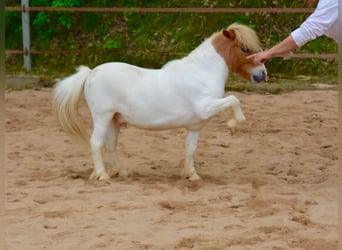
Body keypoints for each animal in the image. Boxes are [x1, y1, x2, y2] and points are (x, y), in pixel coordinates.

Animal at [53, 23, 268, 180]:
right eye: (245, 49)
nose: (262, 75)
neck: (201, 73)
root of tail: (91, 73)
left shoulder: (195, 126)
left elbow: (191, 149)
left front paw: (191, 175)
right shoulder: (206, 107)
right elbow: (234, 99)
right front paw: (233, 126)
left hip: (114, 120)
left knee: (111, 145)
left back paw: (121, 172)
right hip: (102, 117)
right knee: (96, 143)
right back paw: (103, 175)